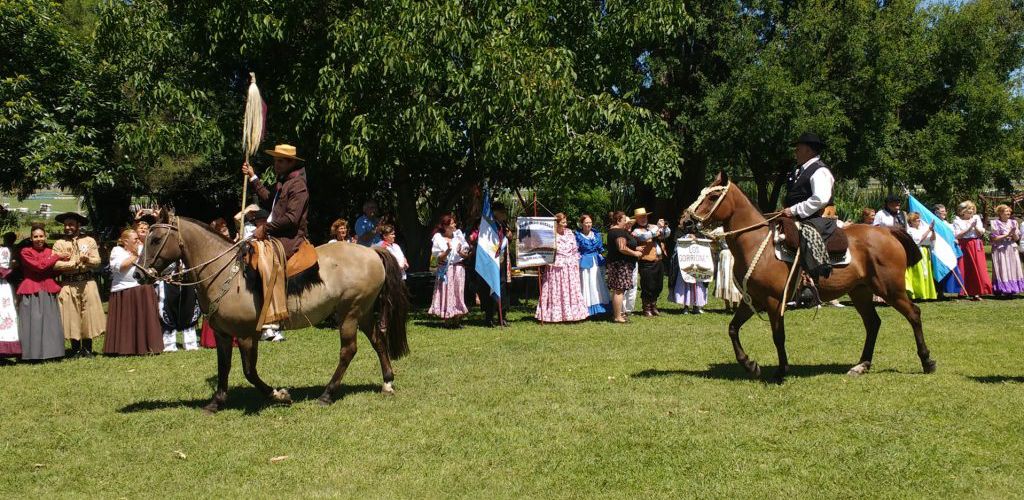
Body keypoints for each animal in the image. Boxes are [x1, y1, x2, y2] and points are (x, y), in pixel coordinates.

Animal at [136, 213, 407, 411]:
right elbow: (223, 367)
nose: (139, 274)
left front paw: (279, 394)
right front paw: (216, 401)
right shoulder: (223, 335)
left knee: (348, 351)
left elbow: (249, 372)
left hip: (349, 314)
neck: (226, 272)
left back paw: (327, 394)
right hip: (362, 313)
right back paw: (387, 382)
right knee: (378, 340)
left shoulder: (246, 335)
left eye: (156, 239)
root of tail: (371, 251)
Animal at [688, 174, 937, 381]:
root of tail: (888, 232)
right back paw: (861, 365)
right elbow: (732, 328)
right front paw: (750, 364)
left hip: (890, 289)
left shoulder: (774, 302)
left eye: (713, 196)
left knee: (914, 314)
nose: (686, 220)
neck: (757, 245)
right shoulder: (753, 300)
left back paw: (927, 361)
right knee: (873, 323)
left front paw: (781, 371)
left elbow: (778, 335)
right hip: (861, 292)